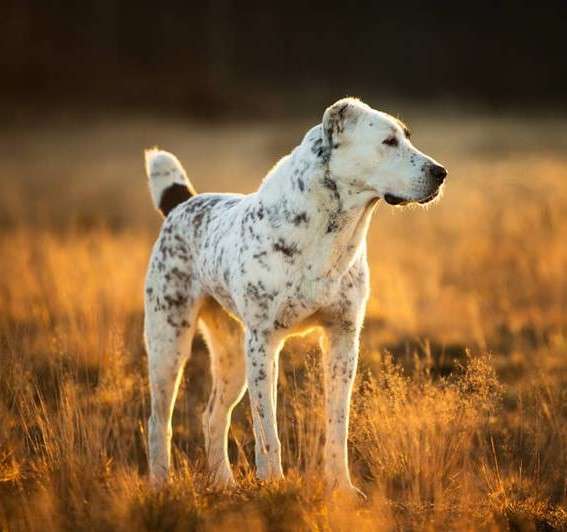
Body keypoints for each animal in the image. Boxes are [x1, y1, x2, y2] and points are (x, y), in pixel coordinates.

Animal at [143, 97, 448, 496]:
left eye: (407, 137)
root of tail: (181, 203)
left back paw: (225, 484)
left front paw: (342, 488)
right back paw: (160, 485)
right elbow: (267, 431)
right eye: (388, 141)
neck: (330, 234)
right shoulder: (264, 344)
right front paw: (273, 485)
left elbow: (337, 425)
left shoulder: (343, 340)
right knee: (158, 421)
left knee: (212, 417)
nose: (441, 173)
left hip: (232, 356)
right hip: (170, 344)